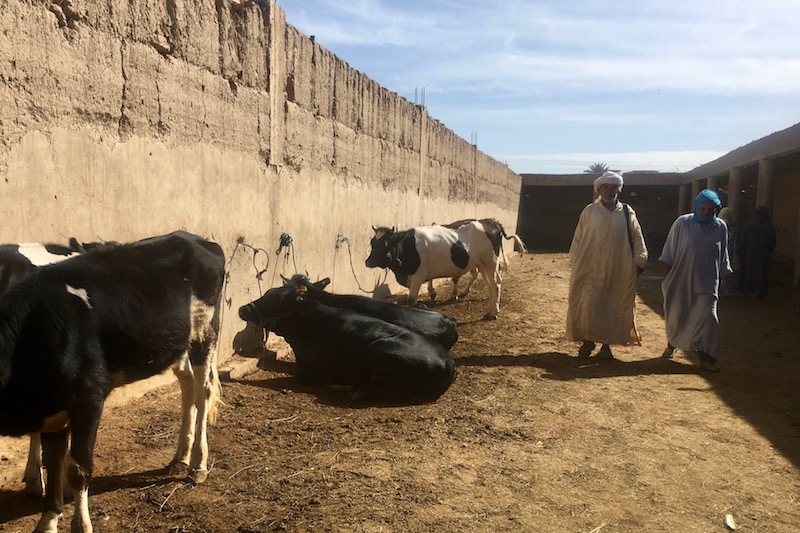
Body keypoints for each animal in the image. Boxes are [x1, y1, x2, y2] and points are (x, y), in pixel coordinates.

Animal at [0, 230, 225, 532]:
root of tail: (191, 237)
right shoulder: (54, 409)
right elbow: (54, 463)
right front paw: (48, 521)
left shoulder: (88, 397)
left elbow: (78, 467)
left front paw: (80, 524)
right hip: (175, 342)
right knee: (187, 383)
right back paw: (180, 457)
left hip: (205, 332)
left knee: (204, 392)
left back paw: (198, 464)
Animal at [366, 218, 520, 318]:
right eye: (372, 242)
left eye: (386, 244)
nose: (368, 262)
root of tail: (490, 222)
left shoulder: (418, 276)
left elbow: (411, 299)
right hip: (482, 264)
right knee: (491, 284)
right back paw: (491, 308)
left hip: (490, 262)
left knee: (496, 284)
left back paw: (493, 312)